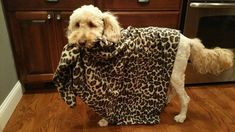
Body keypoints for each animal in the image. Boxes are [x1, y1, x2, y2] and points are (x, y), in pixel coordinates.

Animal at [67, 4, 234, 126]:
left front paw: (104, 120)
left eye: (91, 24)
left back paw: (181, 116)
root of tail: (187, 40)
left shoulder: (114, 82)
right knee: (173, 91)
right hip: (170, 71)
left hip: (176, 74)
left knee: (185, 98)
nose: (80, 42)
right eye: (77, 25)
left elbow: (110, 103)